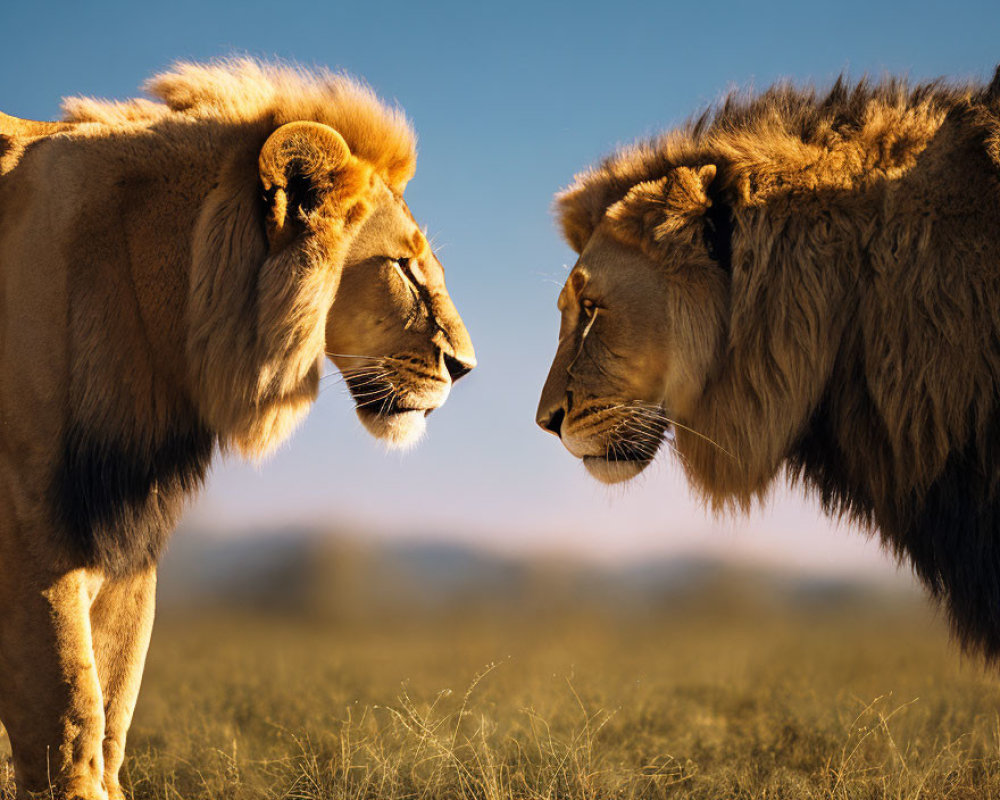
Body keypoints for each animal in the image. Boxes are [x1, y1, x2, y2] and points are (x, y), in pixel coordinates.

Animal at [0, 57, 476, 800]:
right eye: (403, 267)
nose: (465, 367)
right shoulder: (29, 517)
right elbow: (68, 713)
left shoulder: (123, 528)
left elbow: (111, 708)